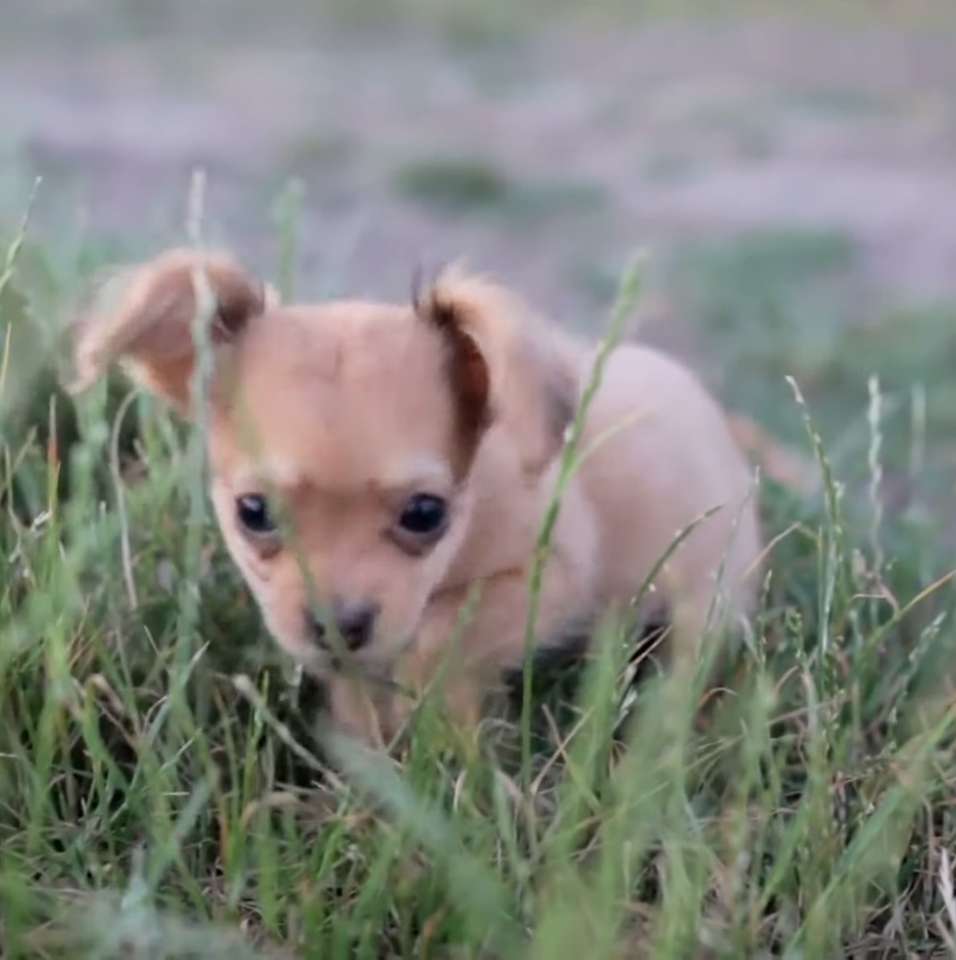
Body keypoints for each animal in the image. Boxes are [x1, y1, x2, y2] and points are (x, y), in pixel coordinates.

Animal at [71, 251, 760, 748]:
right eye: (254, 513)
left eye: (425, 514)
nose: (337, 625)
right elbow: (360, 691)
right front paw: (365, 760)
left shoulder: (548, 579)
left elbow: (435, 636)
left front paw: (439, 731)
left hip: (706, 591)